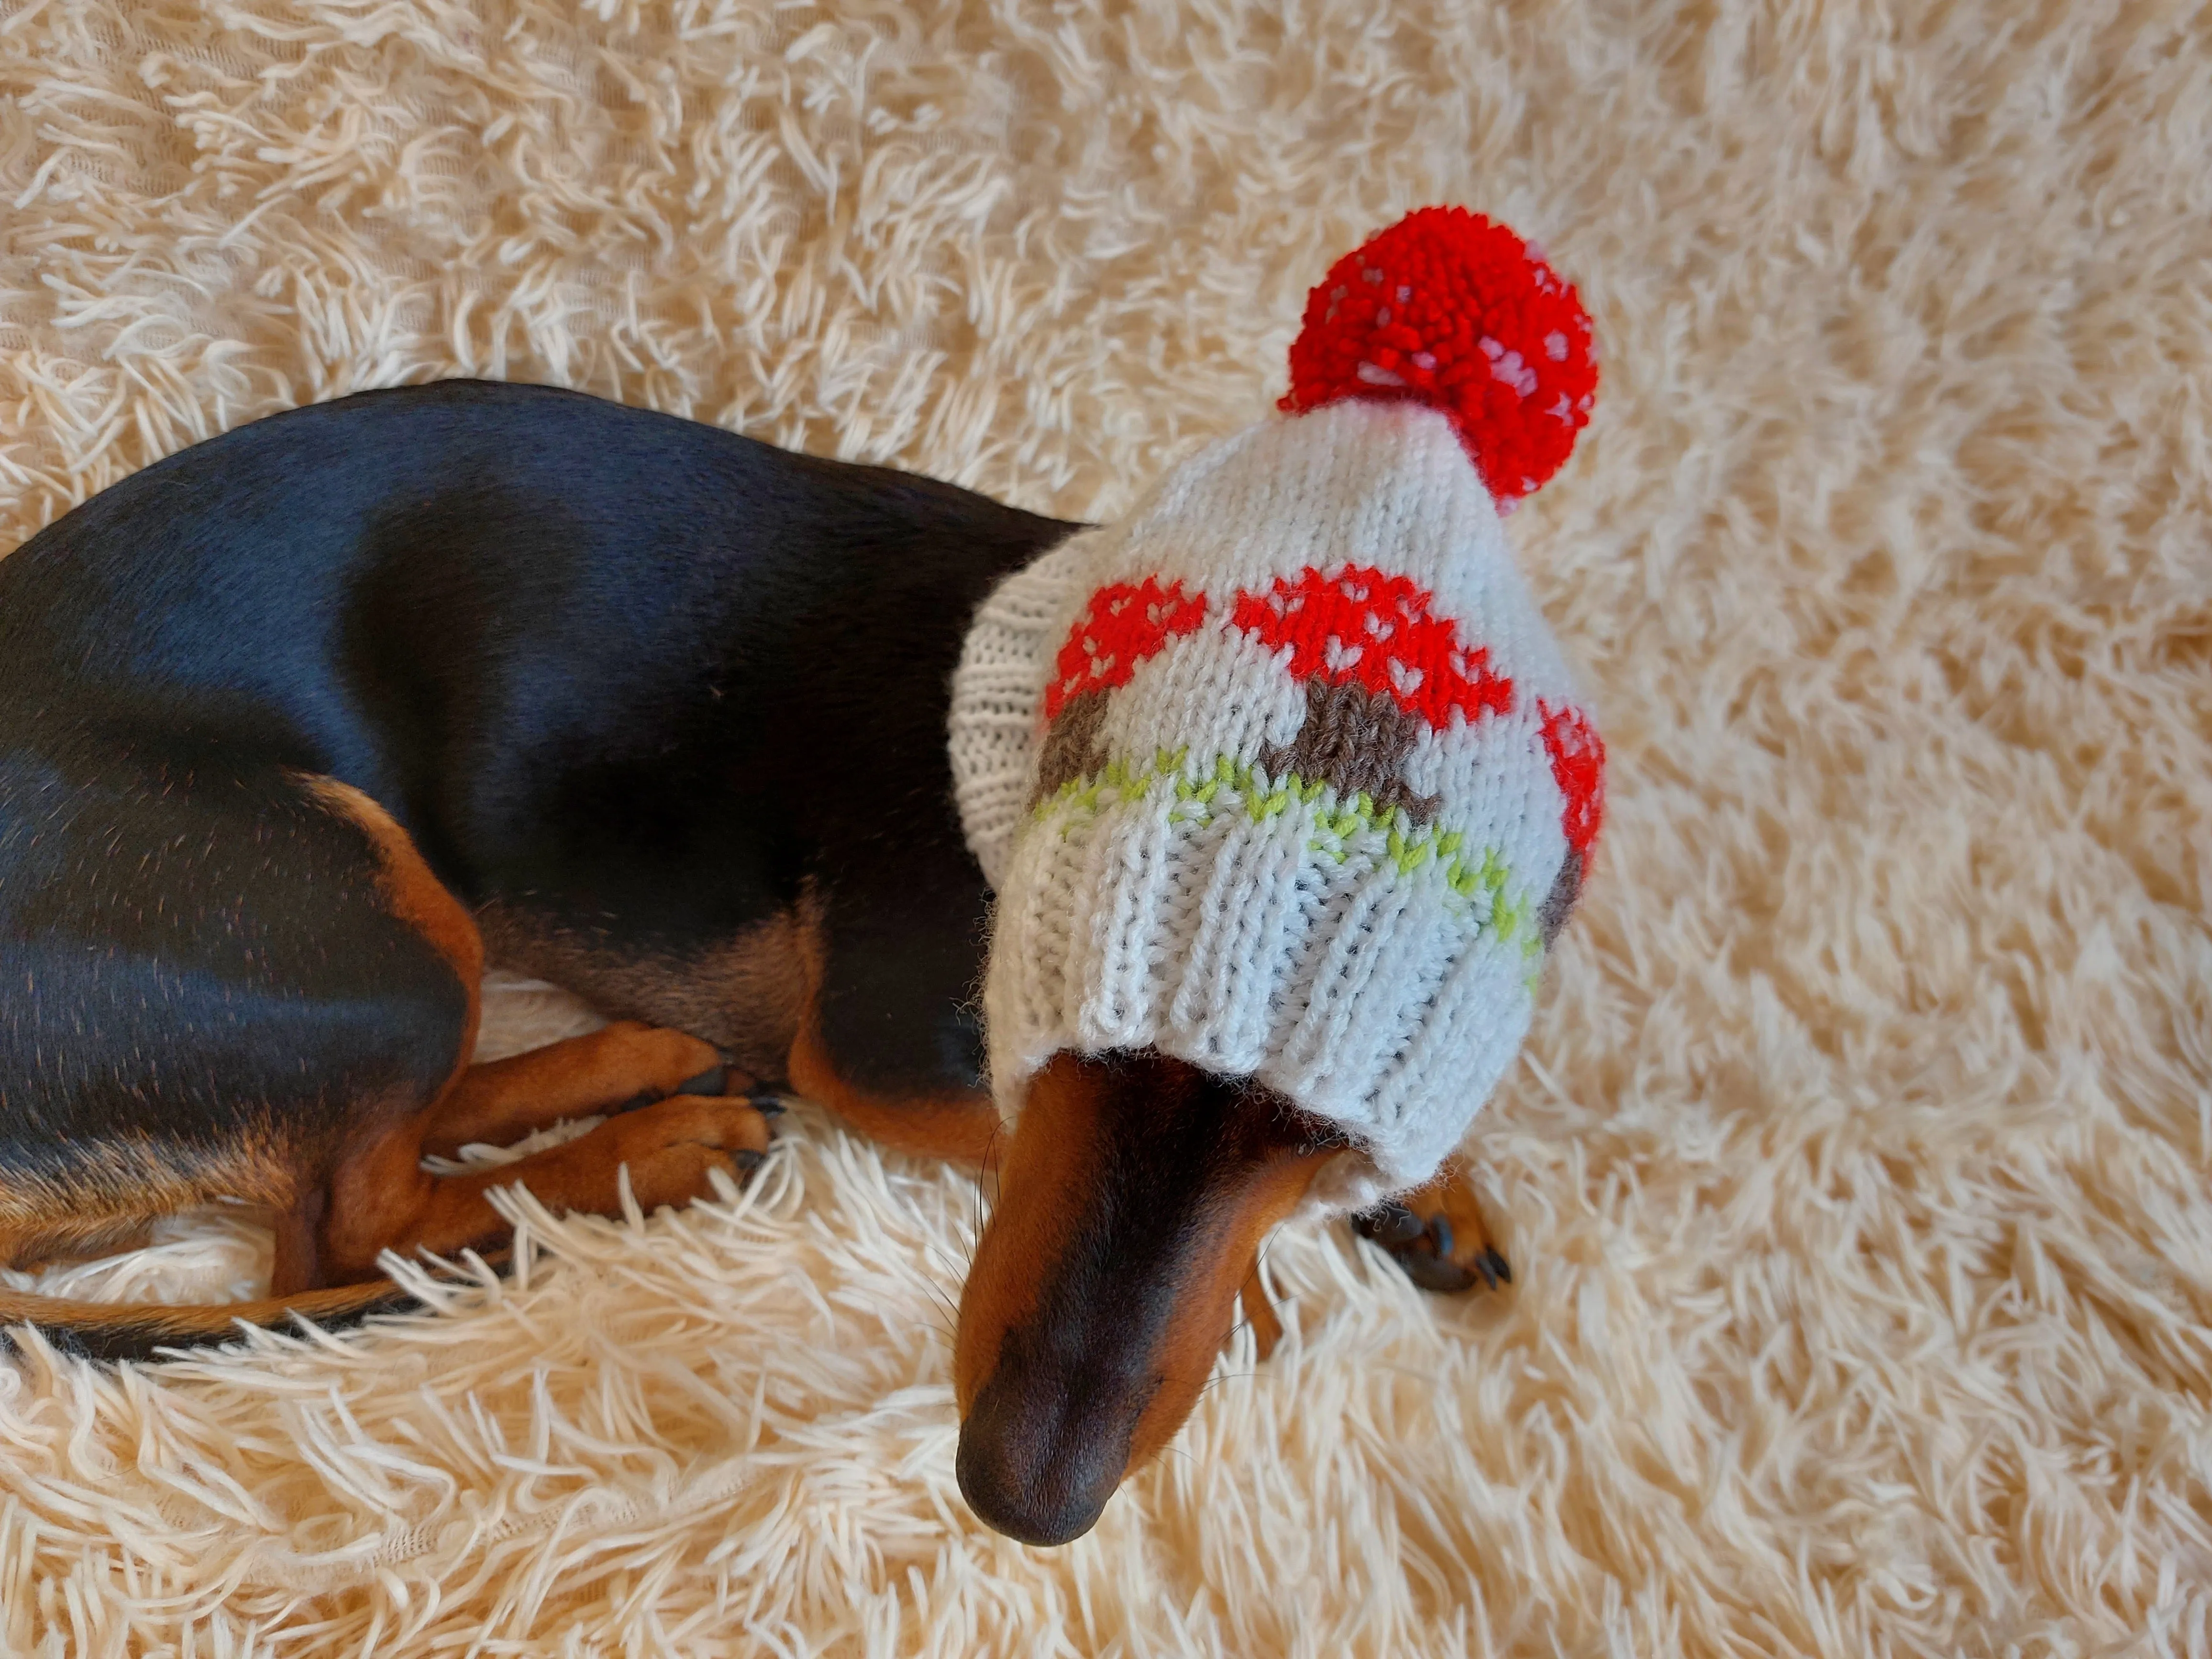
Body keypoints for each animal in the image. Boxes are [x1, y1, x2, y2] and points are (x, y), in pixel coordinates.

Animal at [0, 382, 1504, 1557]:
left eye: (1327, 1117)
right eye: (1073, 1035)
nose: (1026, 1496)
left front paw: (1427, 1194)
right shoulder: (882, 1055)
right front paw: (1262, 1300)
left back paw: (641, 1068)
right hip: (371, 912)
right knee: (354, 1229)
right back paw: (658, 1147)